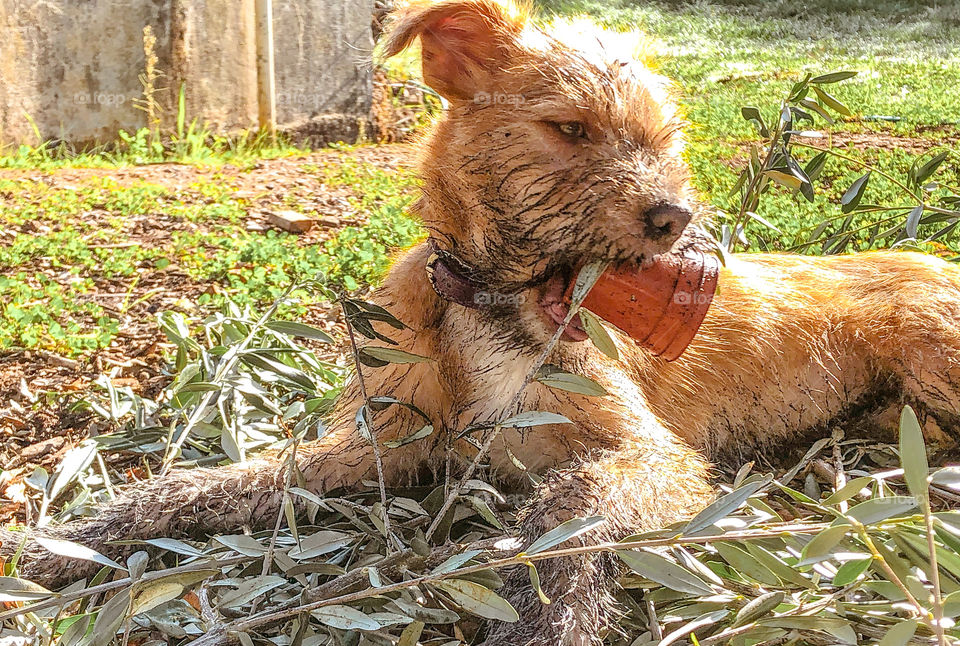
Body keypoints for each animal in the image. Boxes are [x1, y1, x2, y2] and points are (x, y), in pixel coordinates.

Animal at [5, 0, 960, 644]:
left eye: (667, 139)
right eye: (568, 128)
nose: (678, 222)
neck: (493, 306)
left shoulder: (650, 456)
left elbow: (568, 514)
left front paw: (540, 618)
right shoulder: (380, 445)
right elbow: (209, 485)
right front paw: (73, 540)